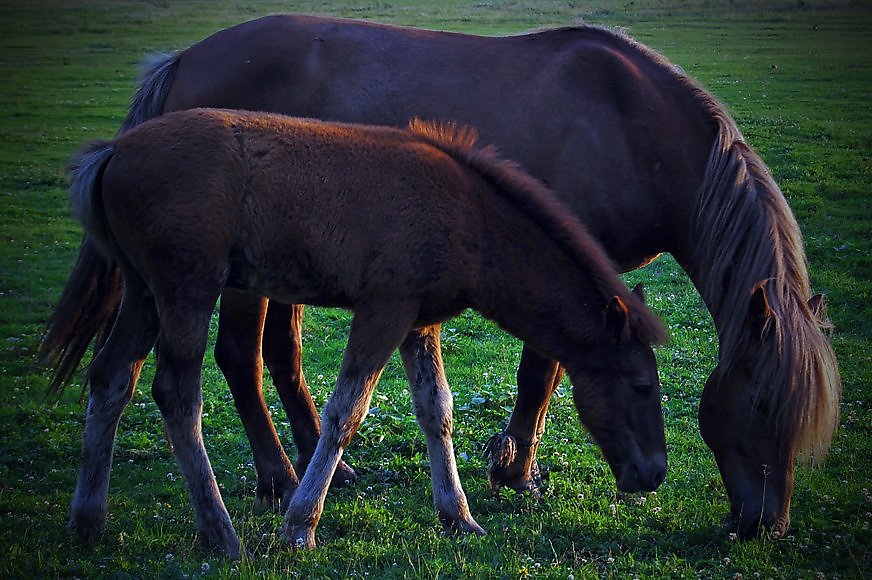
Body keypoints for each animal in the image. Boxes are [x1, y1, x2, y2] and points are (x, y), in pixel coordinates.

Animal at [66, 110, 668, 556]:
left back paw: (88, 519)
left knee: (112, 379)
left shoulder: (419, 321)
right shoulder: (384, 310)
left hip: (143, 292)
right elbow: (345, 412)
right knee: (176, 395)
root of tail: (113, 151)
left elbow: (436, 409)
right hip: (187, 288)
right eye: (641, 386)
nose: (654, 474)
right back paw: (219, 533)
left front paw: (459, 516)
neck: (470, 218)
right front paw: (300, 525)